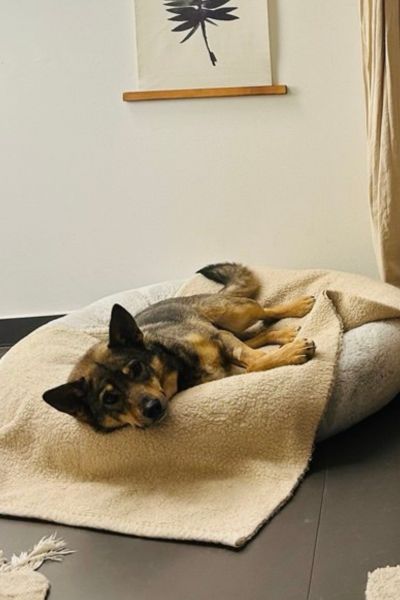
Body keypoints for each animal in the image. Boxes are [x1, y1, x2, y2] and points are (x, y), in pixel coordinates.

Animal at [43, 263, 316, 433]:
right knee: (258, 334)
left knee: (265, 311)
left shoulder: (220, 337)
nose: (152, 409)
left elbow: (254, 359)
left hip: (233, 314)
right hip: (230, 325)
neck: (179, 367)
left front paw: (289, 353)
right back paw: (285, 334)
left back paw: (298, 307)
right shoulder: (224, 347)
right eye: (110, 399)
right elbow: (253, 361)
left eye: (136, 368)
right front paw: (288, 351)